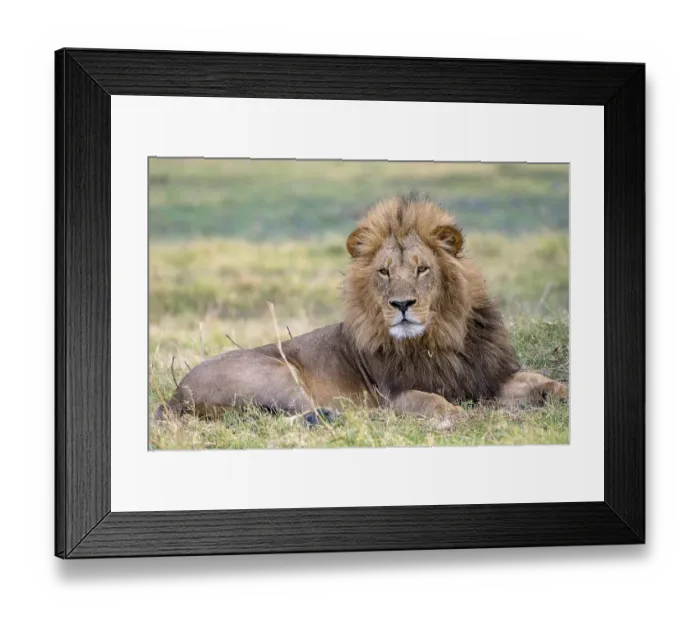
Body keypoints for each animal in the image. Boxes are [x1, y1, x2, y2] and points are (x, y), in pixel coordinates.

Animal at [154, 194, 568, 426]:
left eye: (422, 269)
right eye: (384, 272)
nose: (402, 304)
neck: (438, 340)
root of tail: (174, 397)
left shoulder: (487, 376)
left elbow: (539, 380)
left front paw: (561, 393)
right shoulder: (393, 393)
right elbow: (429, 400)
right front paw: (454, 415)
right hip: (280, 373)